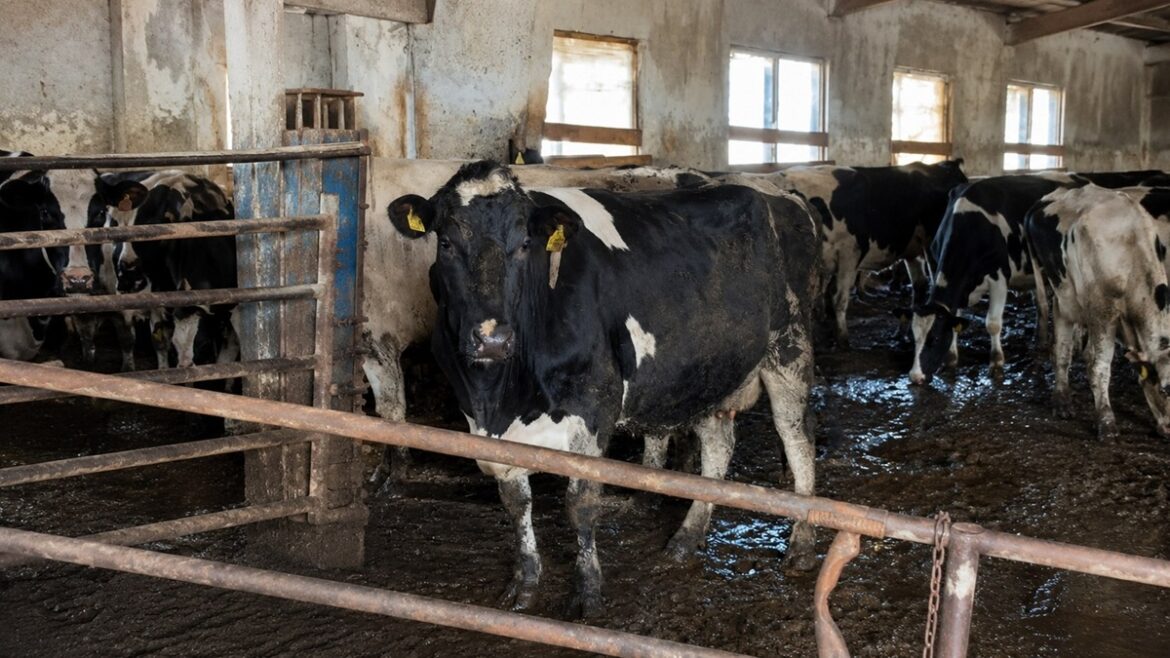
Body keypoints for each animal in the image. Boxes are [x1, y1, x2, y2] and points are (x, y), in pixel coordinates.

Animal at [363, 159, 713, 487]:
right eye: (445, 243)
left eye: (525, 243)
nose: (491, 340)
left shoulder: (380, 340)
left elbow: (391, 410)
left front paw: (392, 472)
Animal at [1026, 185, 1170, 439]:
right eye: (1164, 391)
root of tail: (1053, 195)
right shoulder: (1102, 312)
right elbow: (1100, 366)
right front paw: (1105, 420)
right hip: (1063, 296)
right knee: (1061, 350)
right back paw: (1062, 400)